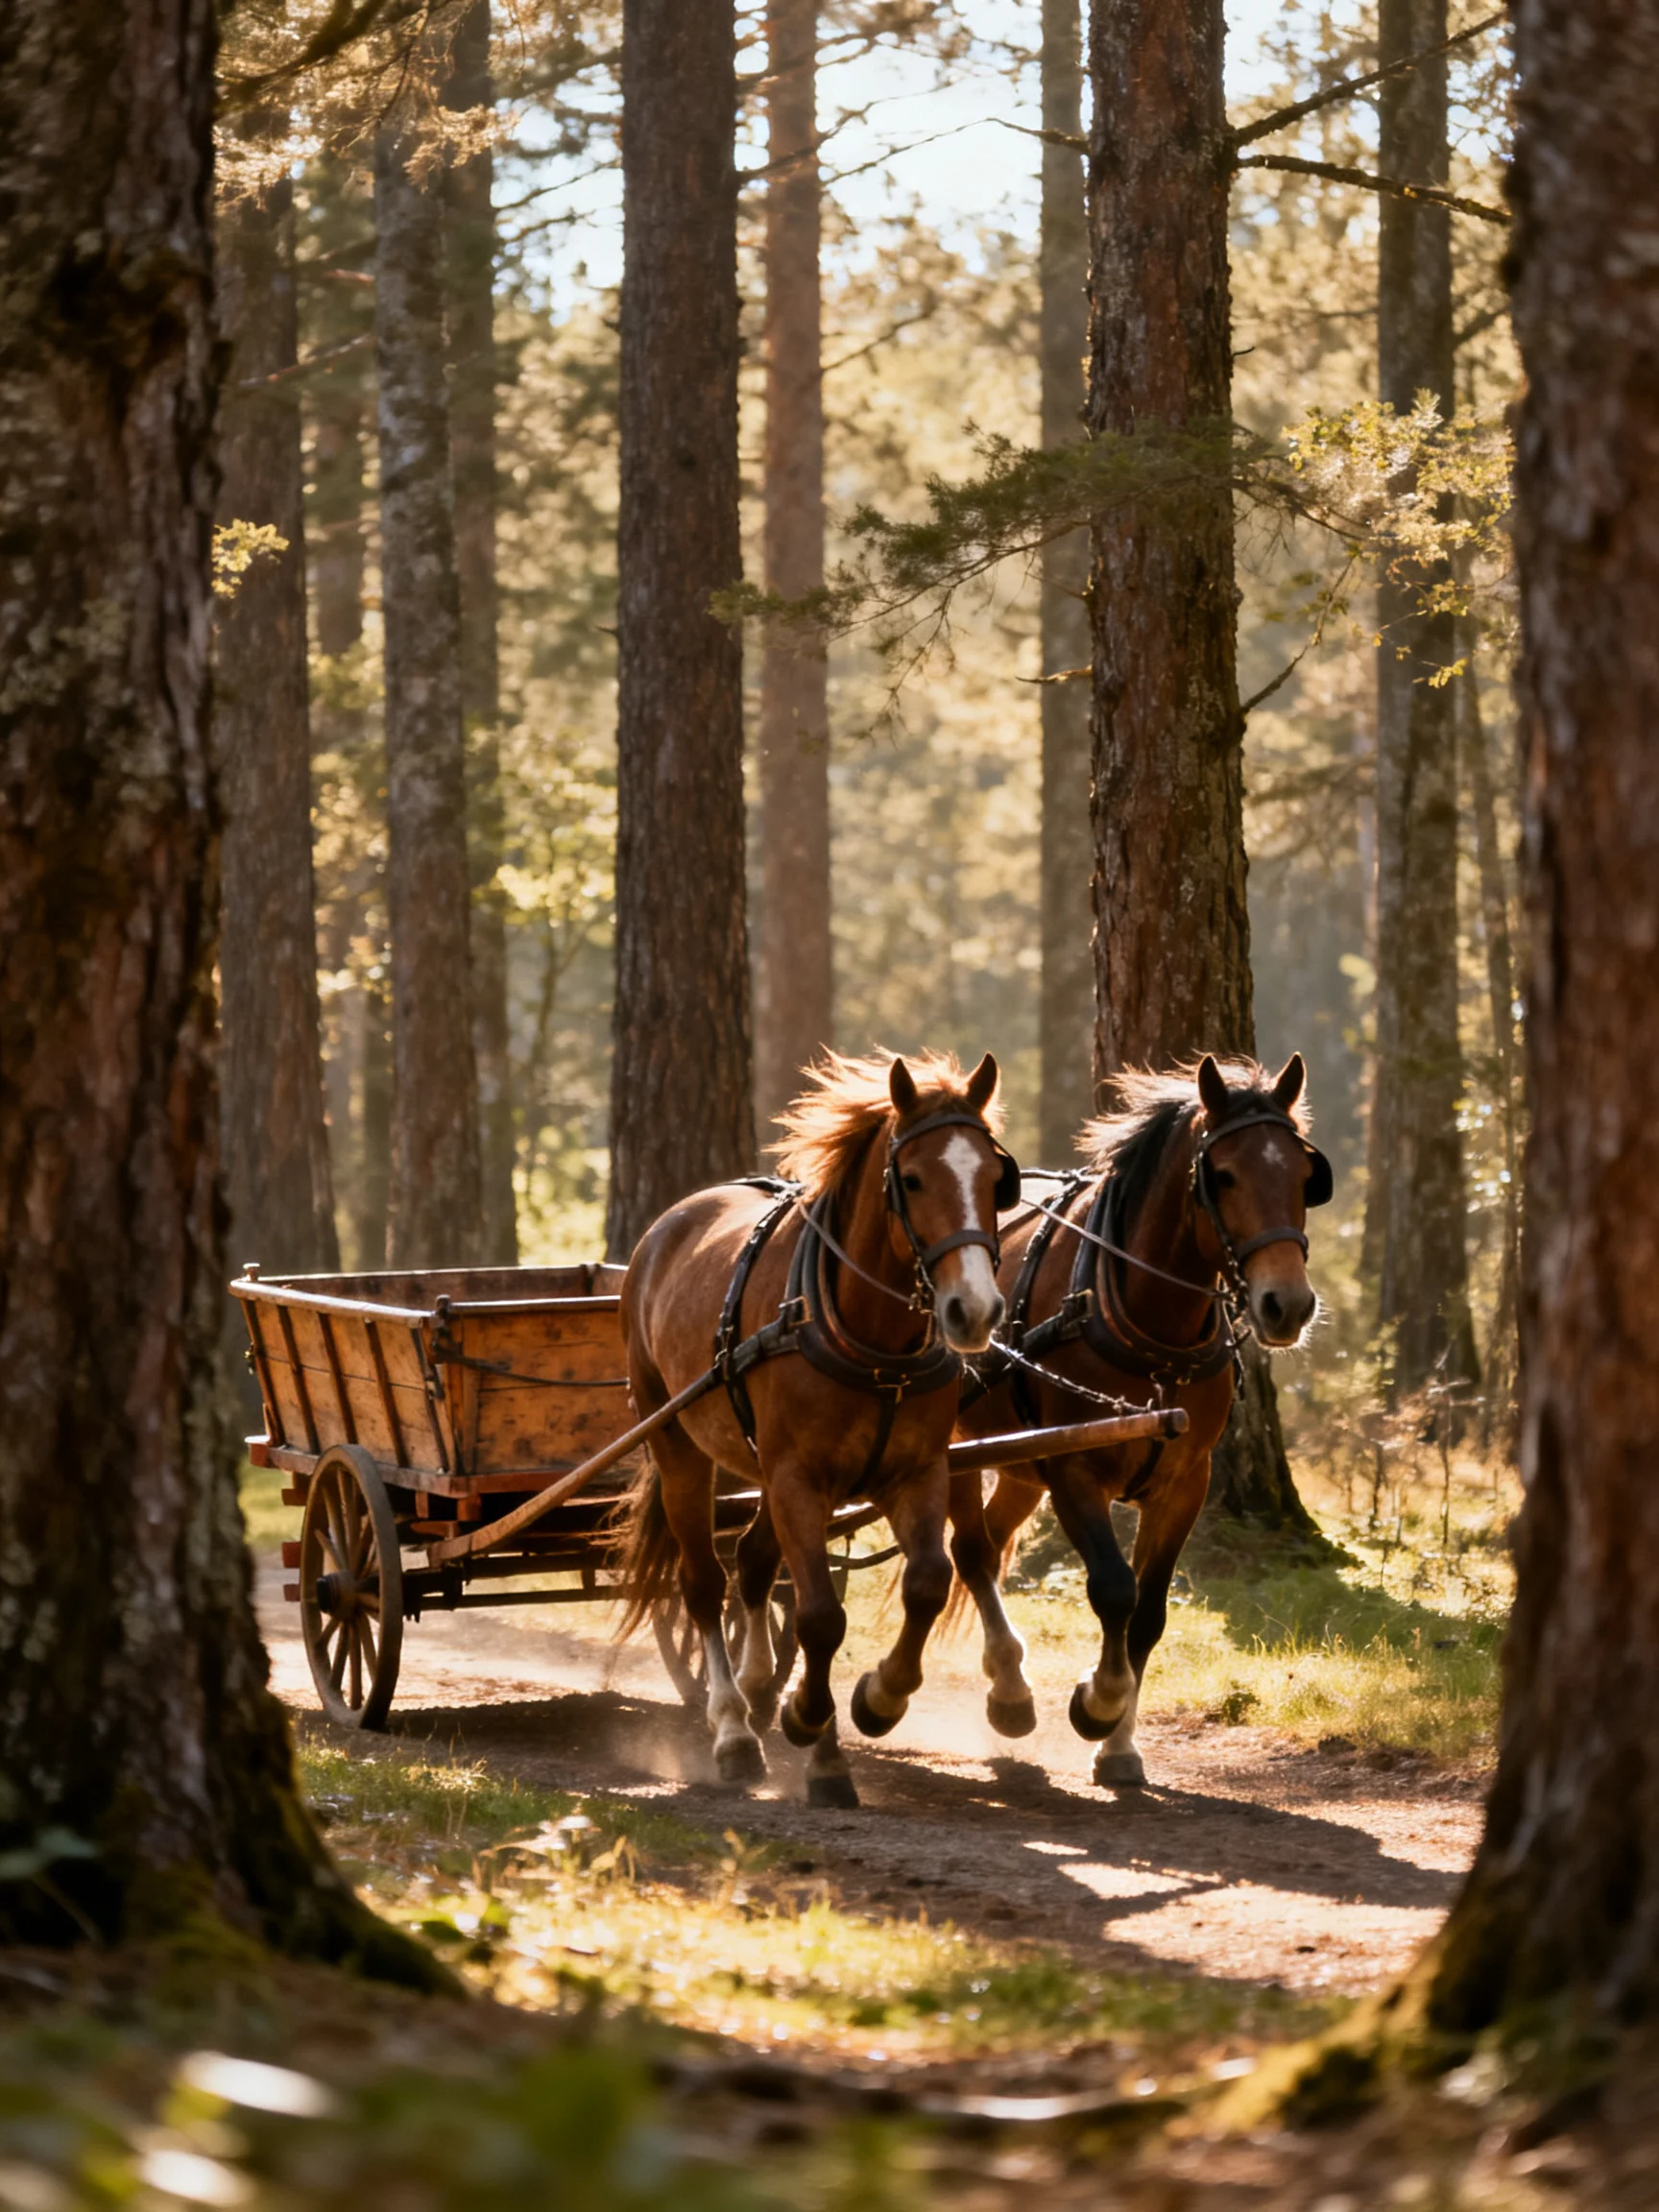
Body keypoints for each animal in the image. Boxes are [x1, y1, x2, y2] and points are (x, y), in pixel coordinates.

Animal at [616, 1049, 1019, 1807]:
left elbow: (927, 1581)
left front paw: (879, 1698)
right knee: (704, 1583)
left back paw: (756, 1690)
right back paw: (733, 1728)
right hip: (679, 1444)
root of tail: (666, 1226)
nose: (973, 1311)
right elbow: (820, 1617)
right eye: (912, 1179)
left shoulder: (916, 1470)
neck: (872, 1342)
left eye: (994, 1180)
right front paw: (816, 1735)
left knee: (751, 1563)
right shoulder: (799, 1481)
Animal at [946, 1052, 1330, 1787]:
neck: (1154, 1337)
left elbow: (1149, 1612)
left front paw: (1120, 1744)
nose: (1287, 1305)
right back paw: (1005, 1693)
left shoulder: (1185, 1482)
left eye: (1304, 1175)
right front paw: (1097, 1703)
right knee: (971, 1551)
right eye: (1223, 1175)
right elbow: (1114, 1590)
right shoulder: (1074, 1469)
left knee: (987, 1543)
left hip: (1018, 1460)